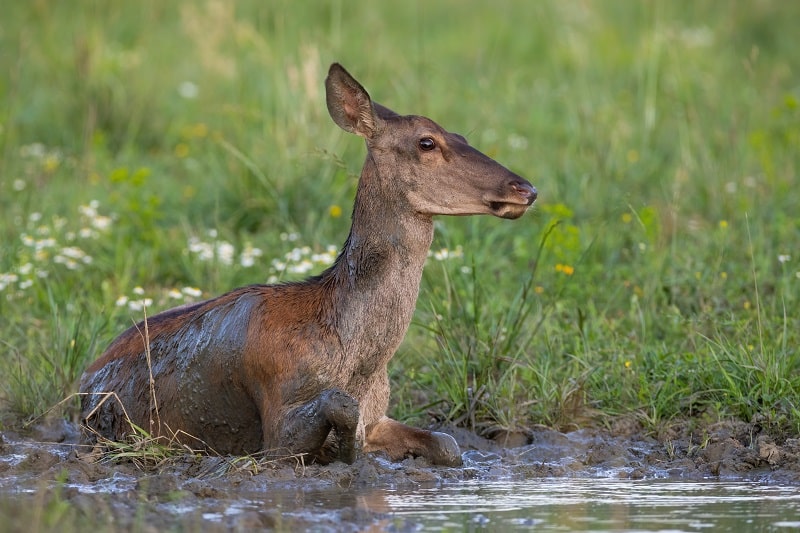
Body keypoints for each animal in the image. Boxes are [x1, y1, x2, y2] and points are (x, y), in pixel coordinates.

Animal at [79, 63, 536, 466]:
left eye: (459, 133)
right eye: (427, 142)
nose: (525, 188)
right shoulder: (275, 418)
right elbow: (339, 410)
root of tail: (83, 380)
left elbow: (447, 443)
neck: (359, 359)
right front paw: (346, 452)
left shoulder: (379, 413)